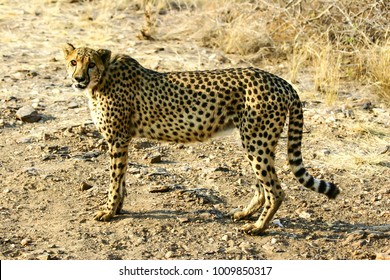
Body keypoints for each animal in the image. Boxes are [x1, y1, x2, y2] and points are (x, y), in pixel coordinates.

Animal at [63, 43, 338, 234]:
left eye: (91, 64)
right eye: (74, 61)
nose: (78, 79)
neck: (102, 80)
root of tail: (282, 81)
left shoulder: (118, 139)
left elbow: (114, 178)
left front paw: (109, 210)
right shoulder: (123, 140)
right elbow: (121, 179)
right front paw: (118, 207)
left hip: (256, 140)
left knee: (276, 191)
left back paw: (258, 228)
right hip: (255, 140)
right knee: (263, 186)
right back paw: (245, 214)